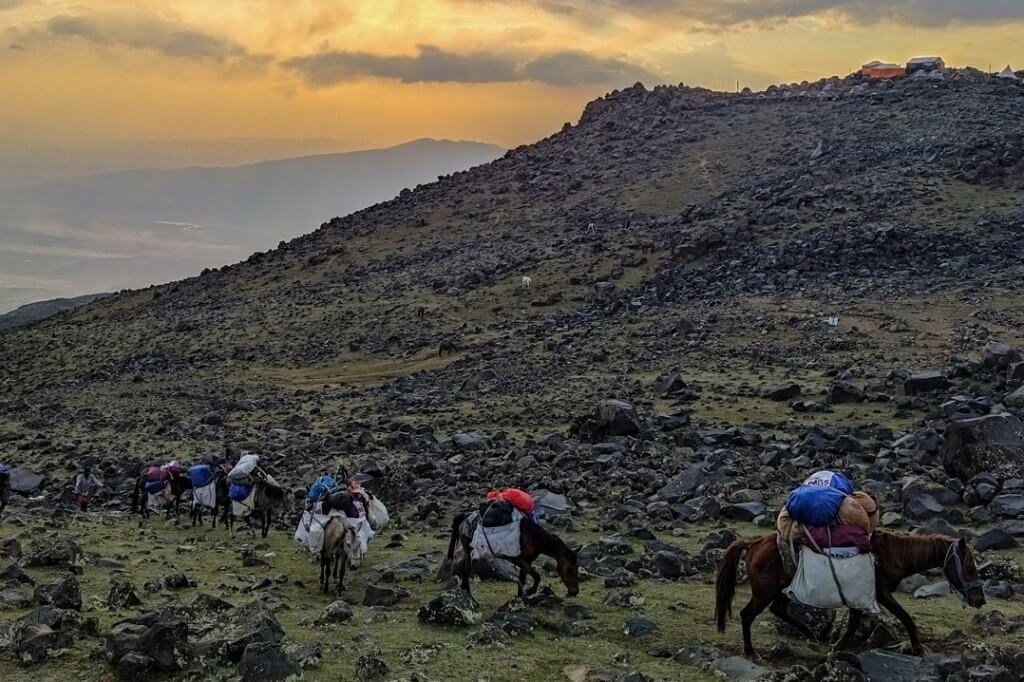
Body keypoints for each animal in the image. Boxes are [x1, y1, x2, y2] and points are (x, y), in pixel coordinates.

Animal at [446, 507, 581, 598]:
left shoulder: (527, 561)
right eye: (570, 569)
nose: (575, 592)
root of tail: (465, 516)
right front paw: (530, 591)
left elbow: (522, 579)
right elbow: (536, 576)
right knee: (466, 569)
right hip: (468, 550)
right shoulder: (517, 559)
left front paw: (520, 598)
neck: (533, 537)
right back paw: (467, 592)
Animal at [712, 528, 983, 655]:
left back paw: (811, 635)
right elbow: (905, 618)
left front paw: (836, 646)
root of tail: (753, 543)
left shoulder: (858, 596)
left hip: (778, 589)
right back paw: (750, 651)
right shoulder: (881, 593)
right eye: (970, 567)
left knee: (778, 609)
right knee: (747, 615)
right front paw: (918, 648)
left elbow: (853, 623)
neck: (892, 554)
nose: (980, 600)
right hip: (764, 592)